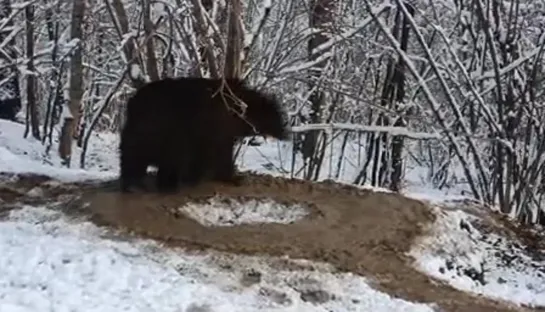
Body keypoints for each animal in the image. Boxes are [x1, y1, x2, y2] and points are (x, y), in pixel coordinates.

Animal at [119, 76, 288, 193]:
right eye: (279, 118)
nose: (286, 134)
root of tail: (134, 102)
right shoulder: (214, 127)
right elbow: (218, 153)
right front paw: (233, 177)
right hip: (163, 128)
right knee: (168, 156)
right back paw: (164, 185)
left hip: (140, 130)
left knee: (131, 155)